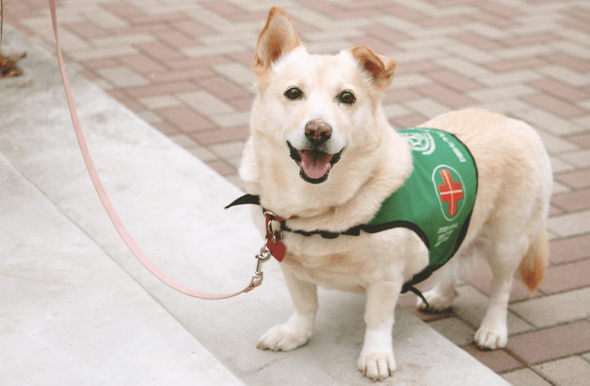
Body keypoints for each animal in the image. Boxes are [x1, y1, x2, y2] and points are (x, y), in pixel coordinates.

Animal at [237, 6, 556, 382]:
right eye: (292, 93)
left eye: (347, 97)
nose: (318, 131)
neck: (318, 208)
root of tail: (513, 122)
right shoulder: (291, 267)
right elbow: (305, 306)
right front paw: (295, 334)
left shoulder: (385, 278)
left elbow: (376, 320)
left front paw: (375, 355)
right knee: (452, 258)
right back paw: (441, 296)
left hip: (508, 243)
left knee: (501, 288)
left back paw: (493, 329)